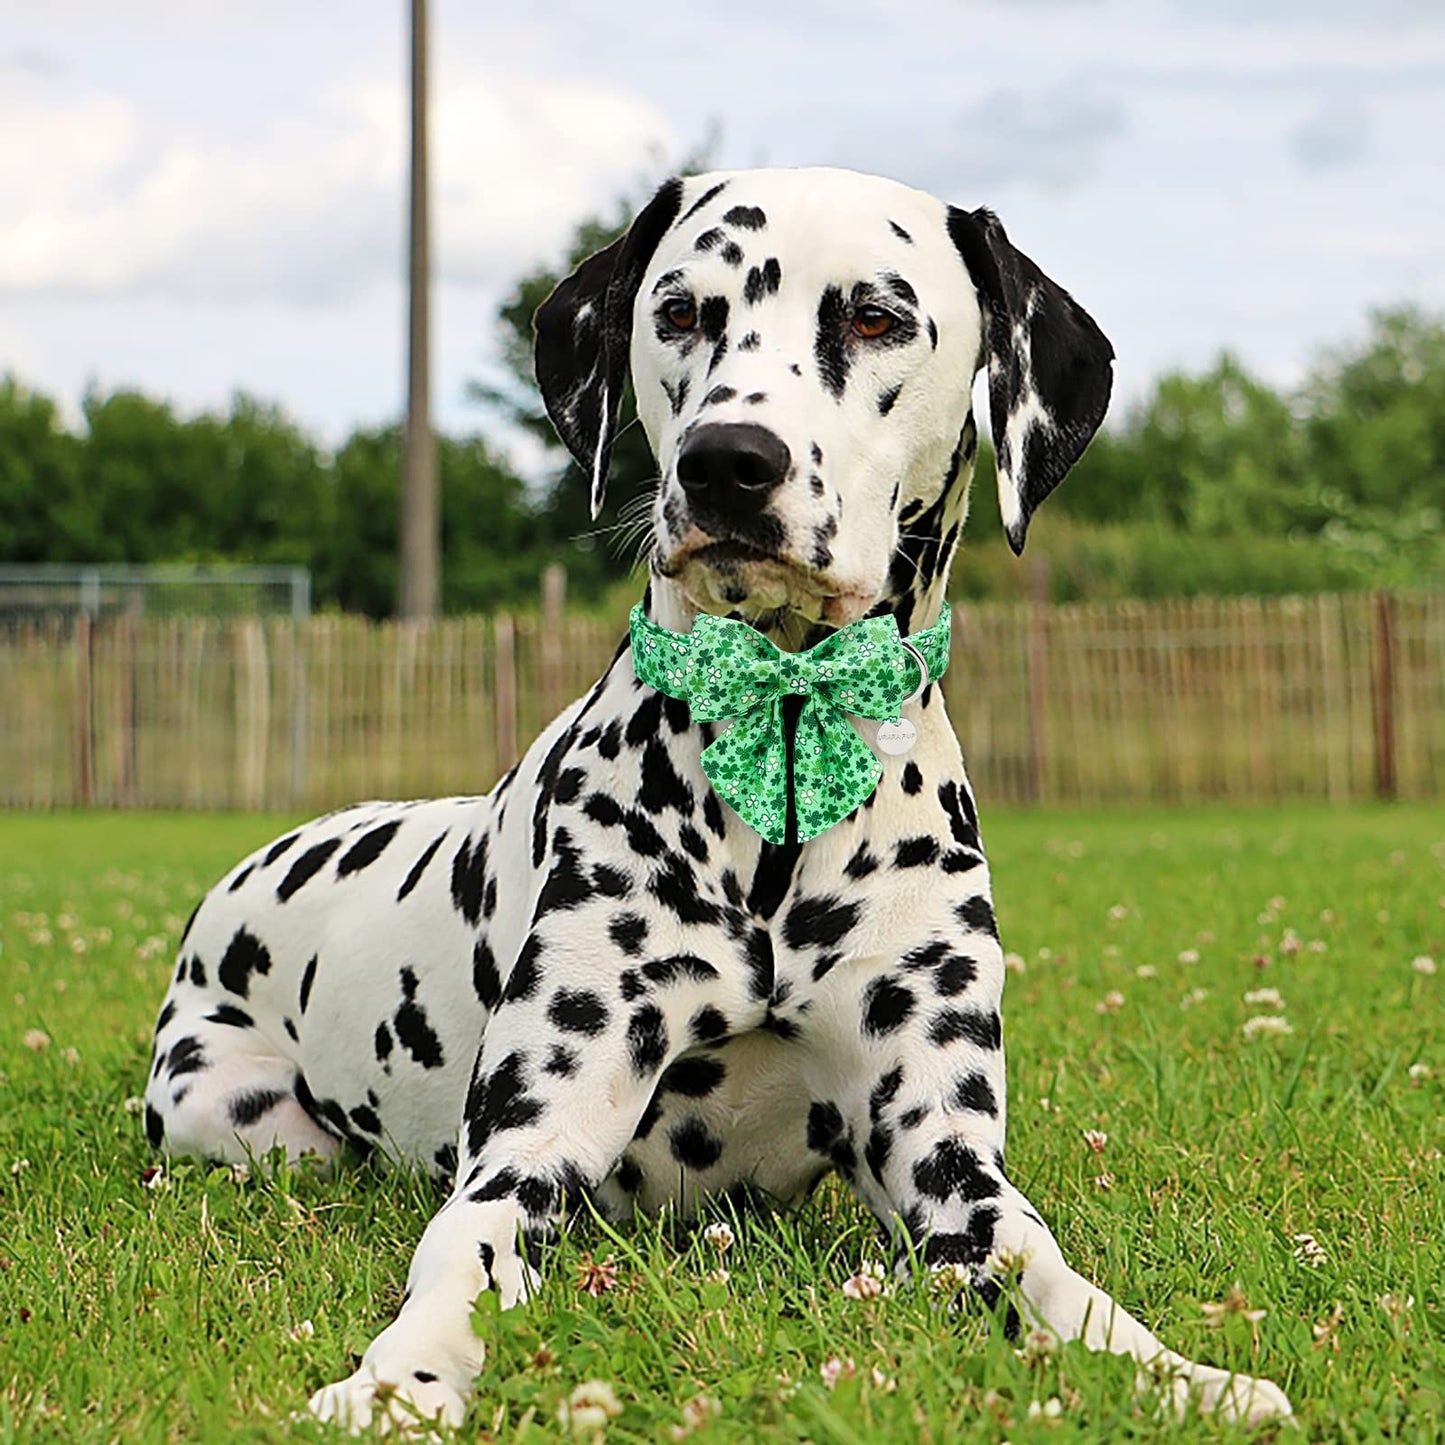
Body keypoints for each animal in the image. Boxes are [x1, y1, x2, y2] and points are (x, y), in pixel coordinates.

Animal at [146, 169, 1294, 1433]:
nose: (726, 462)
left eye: (876, 317)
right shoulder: (527, 1147)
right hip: (227, 1111)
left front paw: (1174, 1373)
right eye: (683, 310)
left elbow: (1043, 1266)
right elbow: (462, 1251)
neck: (782, 751)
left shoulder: (946, 1158)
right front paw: (400, 1378)